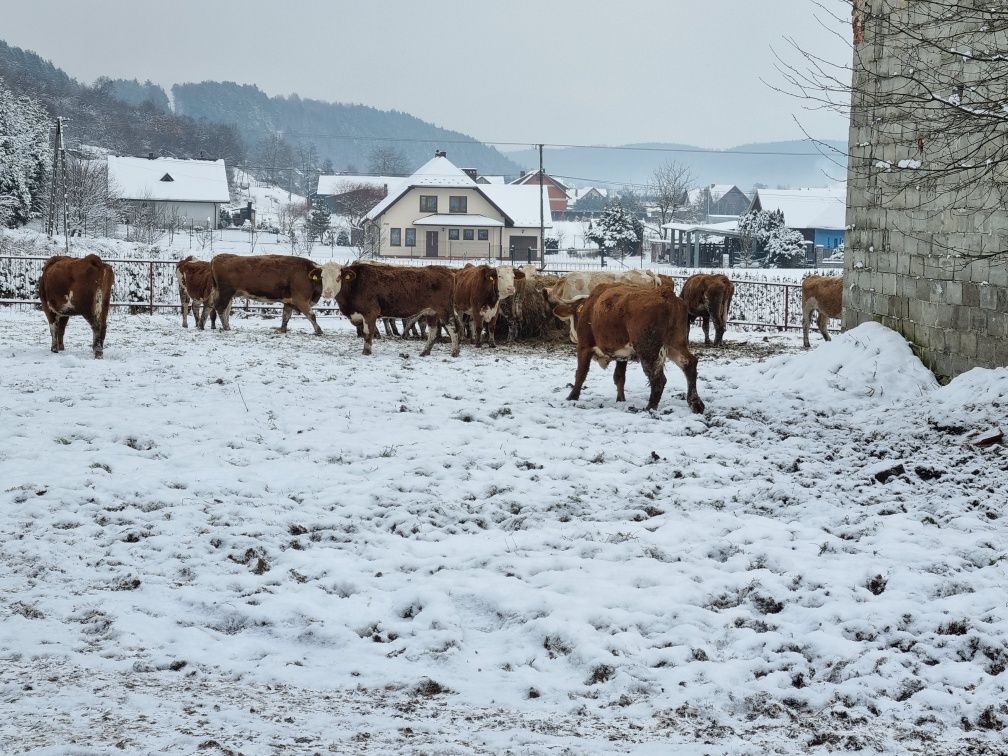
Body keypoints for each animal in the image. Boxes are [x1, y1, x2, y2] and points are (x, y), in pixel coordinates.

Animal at [320, 262, 459, 356]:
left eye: (338, 277)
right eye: (322, 277)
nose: (327, 293)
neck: (355, 284)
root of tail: (446, 271)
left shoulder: (370, 313)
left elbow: (367, 332)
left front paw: (366, 351)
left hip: (444, 310)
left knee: (453, 328)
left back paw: (455, 352)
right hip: (431, 312)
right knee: (433, 331)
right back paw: (425, 352)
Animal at [552, 284, 701, 415]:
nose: (571, 335)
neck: (590, 307)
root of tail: (666, 294)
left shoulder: (584, 347)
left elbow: (581, 374)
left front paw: (572, 397)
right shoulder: (622, 355)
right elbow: (619, 377)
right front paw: (621, 400)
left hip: (648, 351)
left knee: (658, 379)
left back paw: (650, 407)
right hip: (675, 344)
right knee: (689, 364)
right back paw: (695, 403)